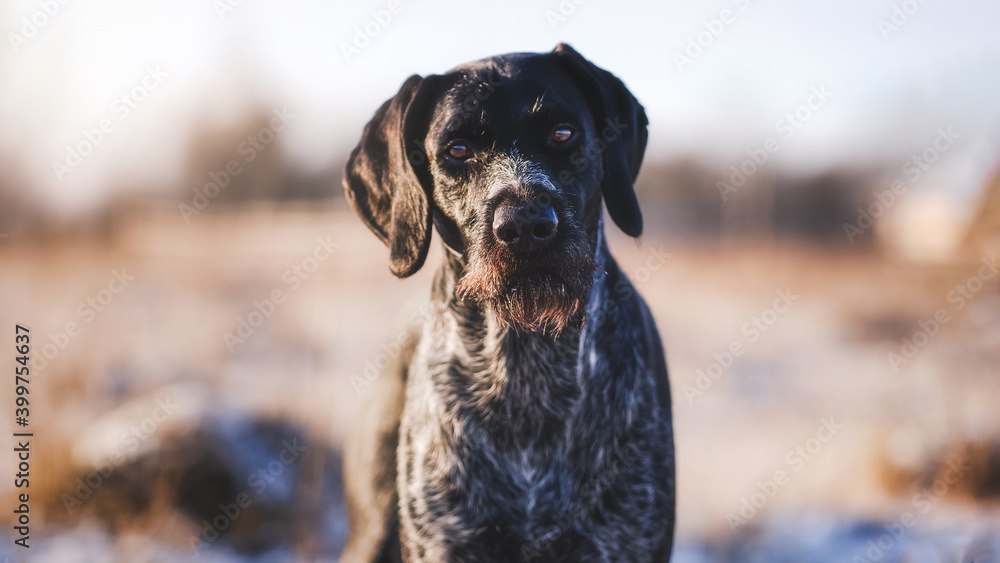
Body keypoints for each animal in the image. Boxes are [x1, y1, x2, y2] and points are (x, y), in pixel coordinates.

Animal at [340, 45, 676, 563]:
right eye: (457, 150)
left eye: (563, 133)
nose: (527, 224)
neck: (526, 375)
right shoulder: (444, 541)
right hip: (372, 530)